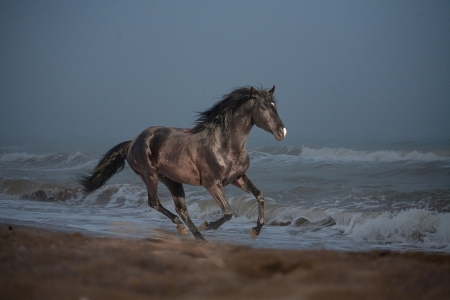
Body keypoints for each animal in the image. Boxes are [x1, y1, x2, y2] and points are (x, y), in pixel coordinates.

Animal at [78, 85, 286, 241]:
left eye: (276, 106)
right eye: (264, 108)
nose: (282, 132)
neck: (224, 144)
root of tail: (133, 142)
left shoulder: (238, 178)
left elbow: (259, 195)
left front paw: (255, 231)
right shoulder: (212, 184)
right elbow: (228, 212)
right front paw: (207, 225)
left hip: (172, 180)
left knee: (181, 209)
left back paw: (197, 236)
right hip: (149, 175)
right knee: (155, 202)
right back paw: (187, 229)